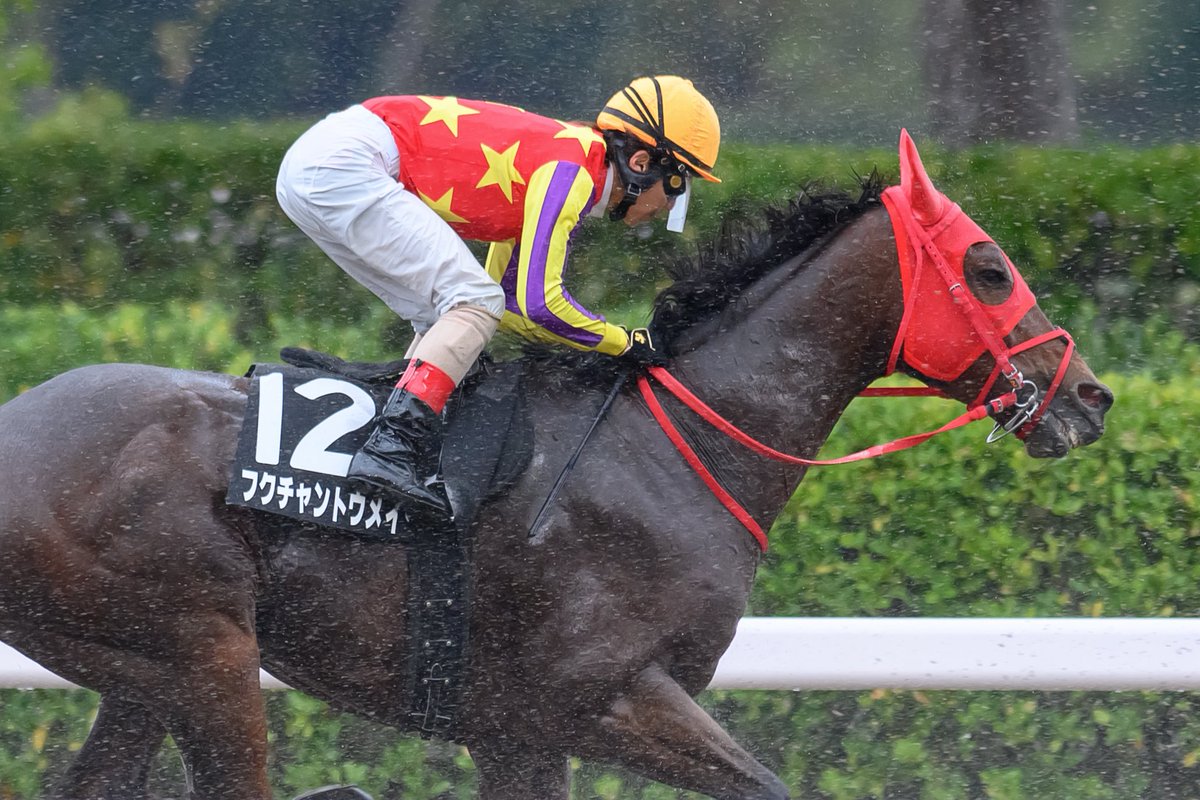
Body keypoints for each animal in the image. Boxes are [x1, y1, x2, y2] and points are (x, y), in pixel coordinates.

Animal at [0, 131, 1111, 800]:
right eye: (989, 267)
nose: (1090, 397)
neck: (675, 449)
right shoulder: (601, 697)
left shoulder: (518, 732)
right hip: (205, 652)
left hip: (144, 672)